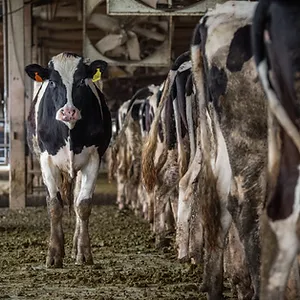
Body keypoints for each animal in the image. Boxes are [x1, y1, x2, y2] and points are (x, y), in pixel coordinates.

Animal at [24, 51, 111, 268]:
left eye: (81, 81)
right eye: (53, 82)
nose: (68, 111)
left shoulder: (94, 159)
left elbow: (83, 205)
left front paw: (84, 253)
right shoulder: (46, 160)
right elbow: (55, 205)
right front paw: (54, 254)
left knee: (77, 196)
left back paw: (74, 248)